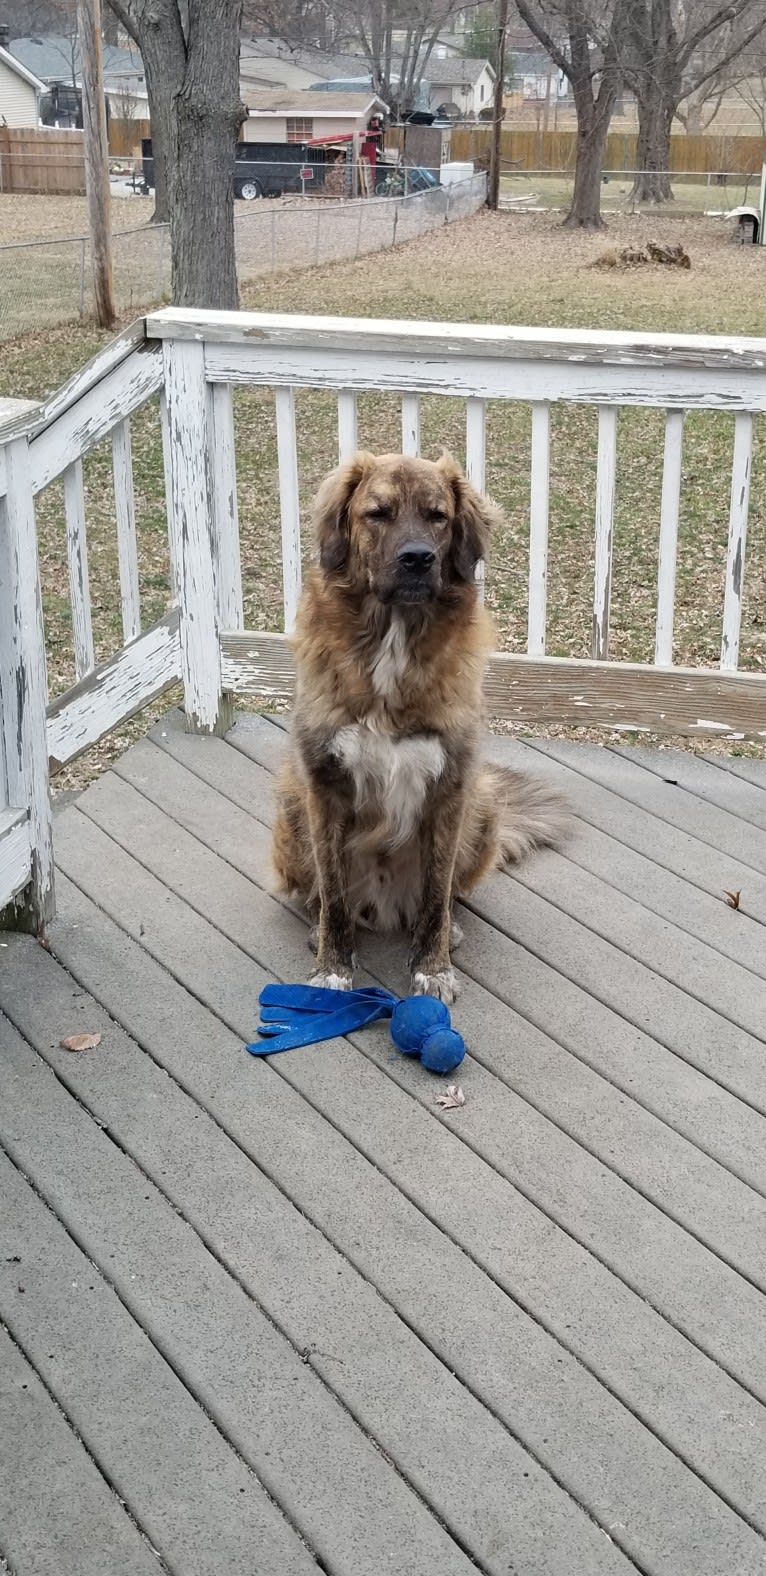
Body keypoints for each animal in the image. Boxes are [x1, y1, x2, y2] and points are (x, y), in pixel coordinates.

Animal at [272, 450, 564, 1002]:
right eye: (377, 514)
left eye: (437, 517)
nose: (417, 559)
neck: (393, 639)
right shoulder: (324, 786)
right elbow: (335, 895)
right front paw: (332, 970)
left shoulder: (451, 788)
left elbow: (434, 898)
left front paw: (432, 969)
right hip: (292, 804)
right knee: (321, 893)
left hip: (484, 804)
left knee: (446, 897)